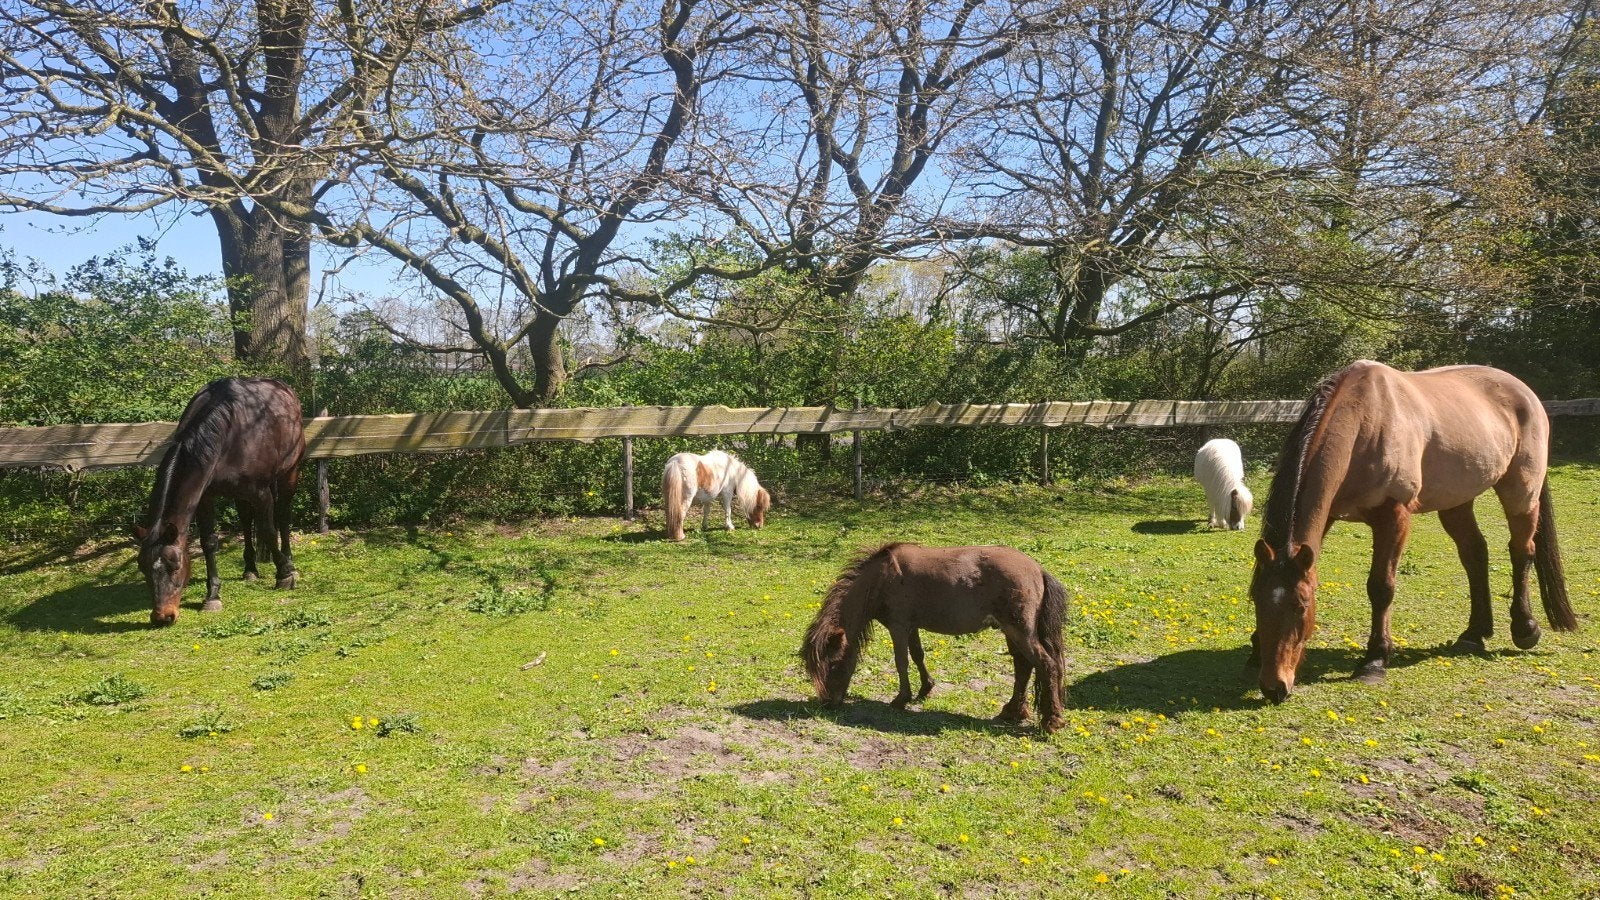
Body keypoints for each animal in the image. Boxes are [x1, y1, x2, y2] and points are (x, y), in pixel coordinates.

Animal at [134, 377, 305, 626]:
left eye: (175, 566)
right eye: (143, 568)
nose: (163, 616)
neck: (229, 433)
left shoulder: (261, 494)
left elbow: (268, 530)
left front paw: (283, 575)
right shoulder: (205, 497)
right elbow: (208, 542)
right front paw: (213, 596)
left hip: (289, 473)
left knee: (282, 515)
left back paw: (290, 563)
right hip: (241, 494)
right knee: (246, 520)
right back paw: (250, 569)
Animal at [802, 543, 1068, 732]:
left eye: (833, 664)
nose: (827, 703)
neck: (882, 578)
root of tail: (1038, 570)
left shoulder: (898, 626)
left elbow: (901, 662)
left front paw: (901, 699)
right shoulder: (911, 627)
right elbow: (918, 656)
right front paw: (925, 689)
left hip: (1019, 631)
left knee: (1046, 665)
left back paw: (1051, 721)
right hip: (1011, 632)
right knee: (1023, 667)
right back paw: (1013, 712)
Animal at [1250, 360, 1577, 703]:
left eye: (1301, 606)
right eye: (1256, 599)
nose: (1274, 686)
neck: (1366, 420)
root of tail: (1525, 392)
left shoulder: (1394, 518)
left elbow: (1381, 587)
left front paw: (1374, 661)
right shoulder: (1326, 516)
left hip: (1521, 493)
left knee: (1521, 551)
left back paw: (1525, 629)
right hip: (1457, 501)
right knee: (1475, 555)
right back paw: (1474, 634)